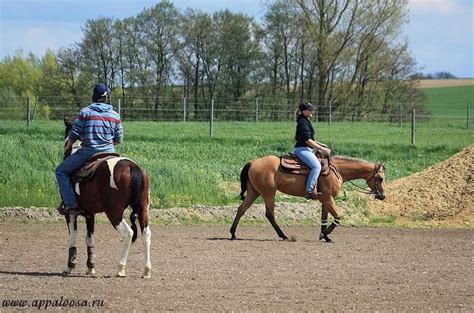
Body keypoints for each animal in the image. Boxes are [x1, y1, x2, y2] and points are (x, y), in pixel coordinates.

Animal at [60, 116, 151, 276]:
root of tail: (132, 167)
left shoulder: (70, 213)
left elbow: (73, 238)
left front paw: (70, 267)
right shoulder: (89, 214)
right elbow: (89, 239)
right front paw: (90, 267)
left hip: (114, 212)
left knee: (128, 233)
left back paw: (120, 268)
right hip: (142, 208)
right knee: (145, 233)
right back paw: (146, 270)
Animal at [230, 154, 386, 241]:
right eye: (380, 178)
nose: (383, 196)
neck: (337, 170)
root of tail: (253, 162)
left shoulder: (325, 200)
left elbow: (324, 218)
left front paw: (325, 236)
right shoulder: (329, 199)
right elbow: (337, 217)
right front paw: (324, 235)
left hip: (254, 192)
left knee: (241, 209)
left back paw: (233, 234)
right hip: (268, 193)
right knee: (269, 214)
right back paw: (283, 235)